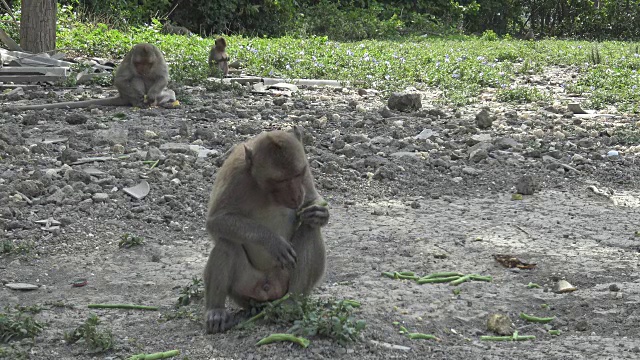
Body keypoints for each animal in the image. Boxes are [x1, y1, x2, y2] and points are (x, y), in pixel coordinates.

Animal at [6, 42, 178, 110]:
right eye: (138, 64)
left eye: (147, 64)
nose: (142, 70)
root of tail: (123, 97)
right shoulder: (129, 60)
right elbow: (121, 79)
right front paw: (139, 97)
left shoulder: (159, 58)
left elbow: (162, 78)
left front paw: (151, 95)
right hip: (128, 94)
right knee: (135, 79)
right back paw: (138, 102)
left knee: (169, 92)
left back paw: (163, 102)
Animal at [202, 125, 330, 334]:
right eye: (281, 181)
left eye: (298, 174)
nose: (296, 196)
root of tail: (270, 289)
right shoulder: (235, 175)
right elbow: (216, 221)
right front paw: (272, 241)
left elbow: (311, 201)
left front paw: (320, 213)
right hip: (244, 288)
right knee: (227, 242)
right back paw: (216, 310)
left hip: (284, 280)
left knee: (310, 228)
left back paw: (291, 304)